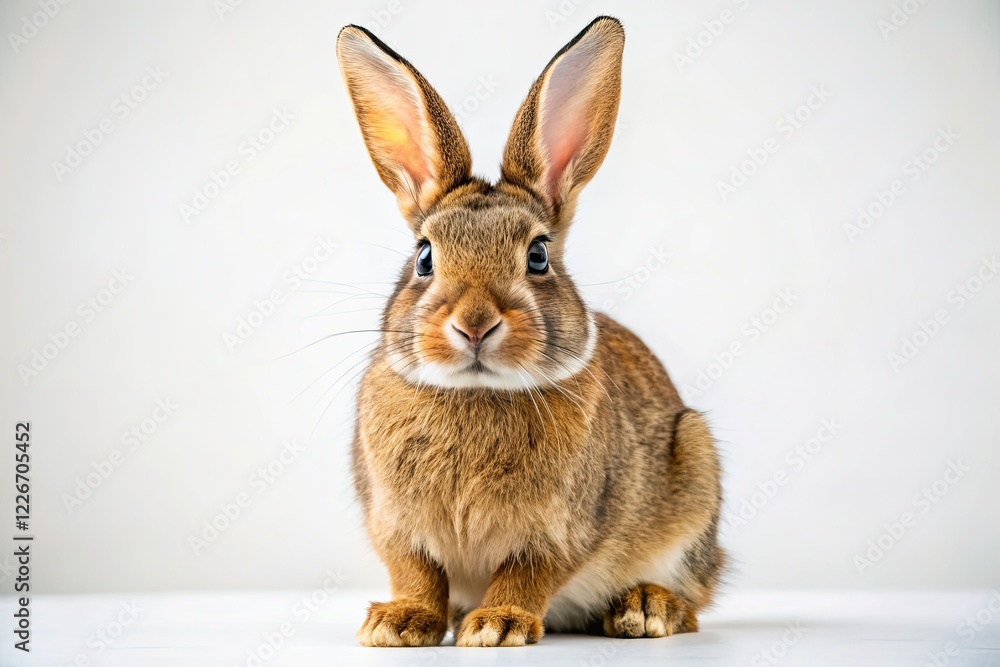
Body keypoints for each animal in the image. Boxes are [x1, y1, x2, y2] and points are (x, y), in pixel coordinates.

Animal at [336, 16, 724, 647]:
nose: (474, 324)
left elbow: (528, 573)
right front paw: (401, 622)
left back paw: (647, 608)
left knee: (695, 601)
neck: (476, 392)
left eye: (538, 255)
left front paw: (498, 624)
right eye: (424, 257)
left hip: (694, 466)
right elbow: (417, 573)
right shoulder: (395, 525)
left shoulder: (560, 530)